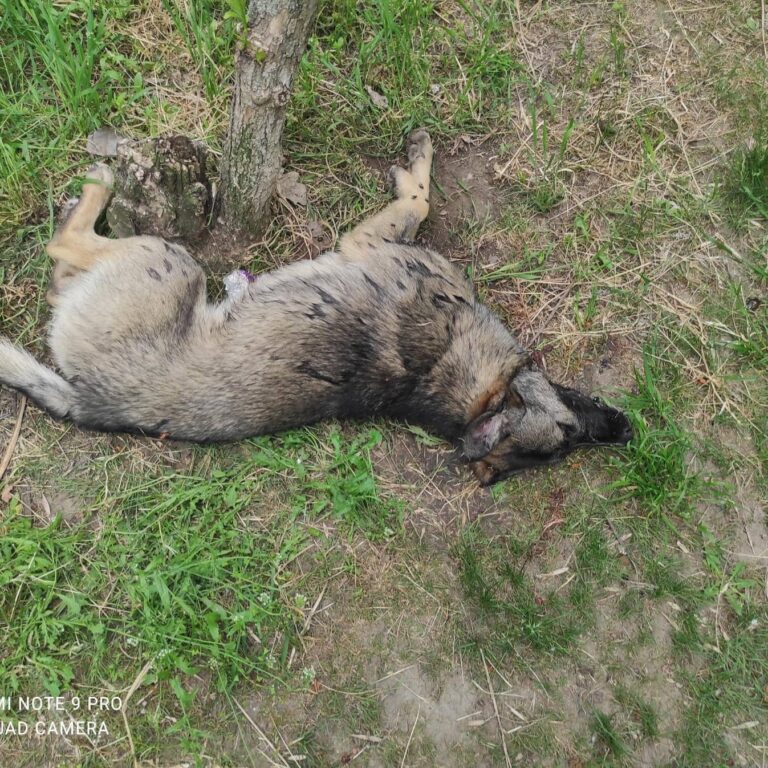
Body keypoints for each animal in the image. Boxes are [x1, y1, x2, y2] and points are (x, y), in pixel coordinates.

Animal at [0, 129, 632, 484]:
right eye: (572, 429)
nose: (625, 432)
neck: (455, 386)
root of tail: (92, 403)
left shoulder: (370, 244)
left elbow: (419, 199)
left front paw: (414, 165)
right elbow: (420, 198)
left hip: (164, 260)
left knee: (63, 252)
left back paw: (97, 186)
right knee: (61, 266)